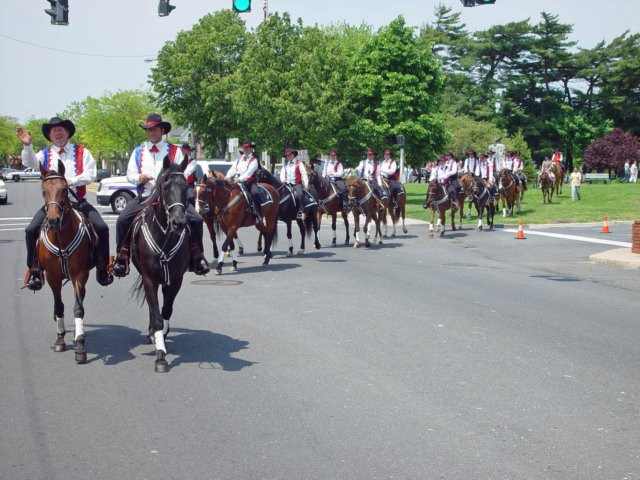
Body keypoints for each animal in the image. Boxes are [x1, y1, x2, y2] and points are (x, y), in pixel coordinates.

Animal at [36, 163, 95, 362]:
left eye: (63, 189)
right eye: (43, 191)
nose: (54, 220)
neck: (61, 238)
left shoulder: (79, 275)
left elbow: (78, 308)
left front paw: (80, 345)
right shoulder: (52, 277)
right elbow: (59, 306)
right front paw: (60, 340)